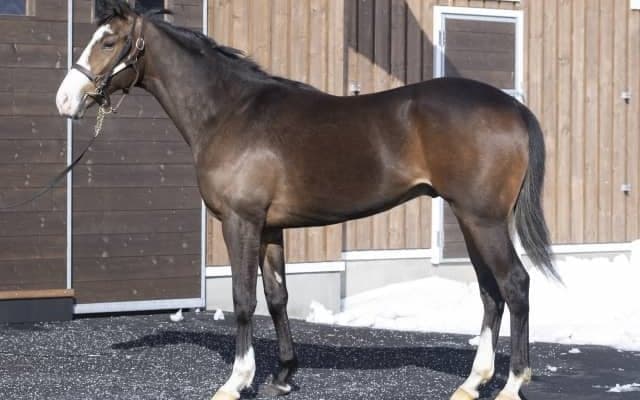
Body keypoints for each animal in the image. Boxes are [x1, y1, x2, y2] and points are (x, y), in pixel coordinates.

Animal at [55, 2, 557, 400]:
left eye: (108, 42)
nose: (65, 100)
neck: (229, 112)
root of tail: (514, 108)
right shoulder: (271, 227)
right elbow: (277, 296)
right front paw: (283, 375)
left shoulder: (240, 222)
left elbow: (243, 298)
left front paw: (236, 382)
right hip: (471, 219)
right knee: (491, 293)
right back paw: (473, 382)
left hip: (482, 219)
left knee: (515, 285)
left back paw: (512, 383)